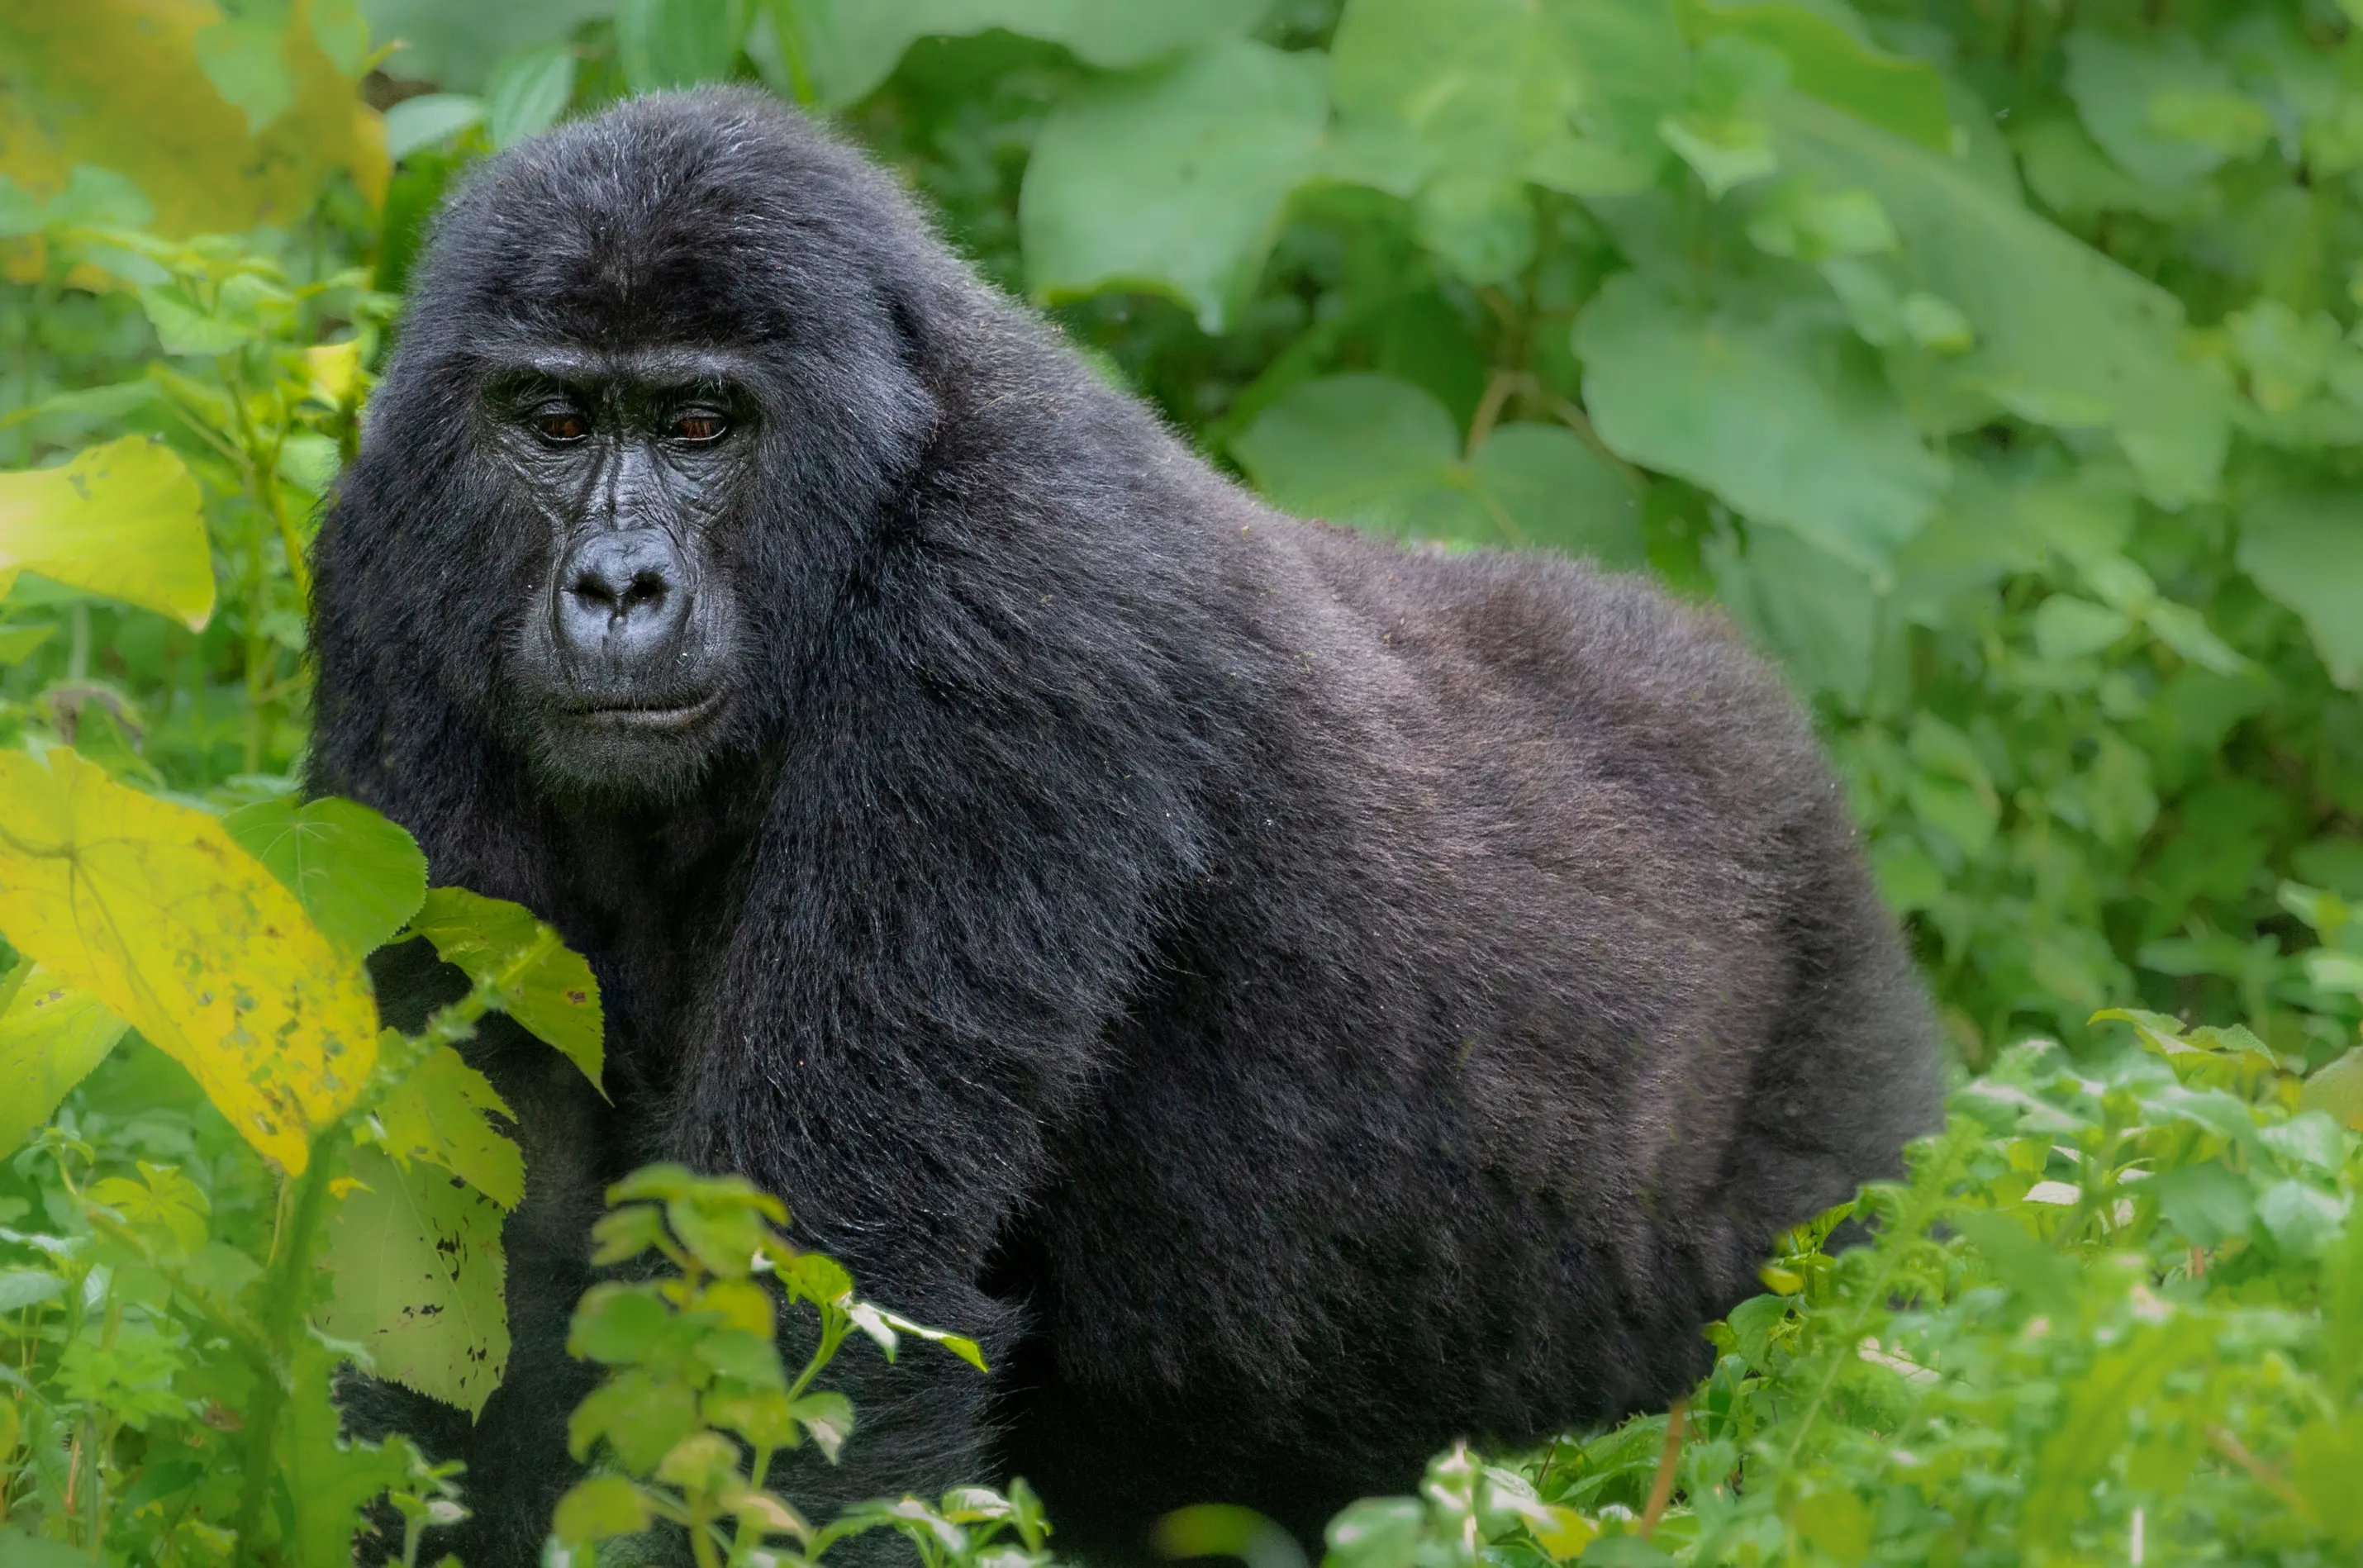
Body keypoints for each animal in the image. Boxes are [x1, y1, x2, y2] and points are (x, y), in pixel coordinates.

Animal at [309, 83, 1937, 1568]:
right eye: (556, 420)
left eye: (703, 421)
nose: (615, 587)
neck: (881, 475)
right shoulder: (392, 552)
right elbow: (473, 1255)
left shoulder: (1013, 616)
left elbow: (815, 1295)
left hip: (1835, 1112)